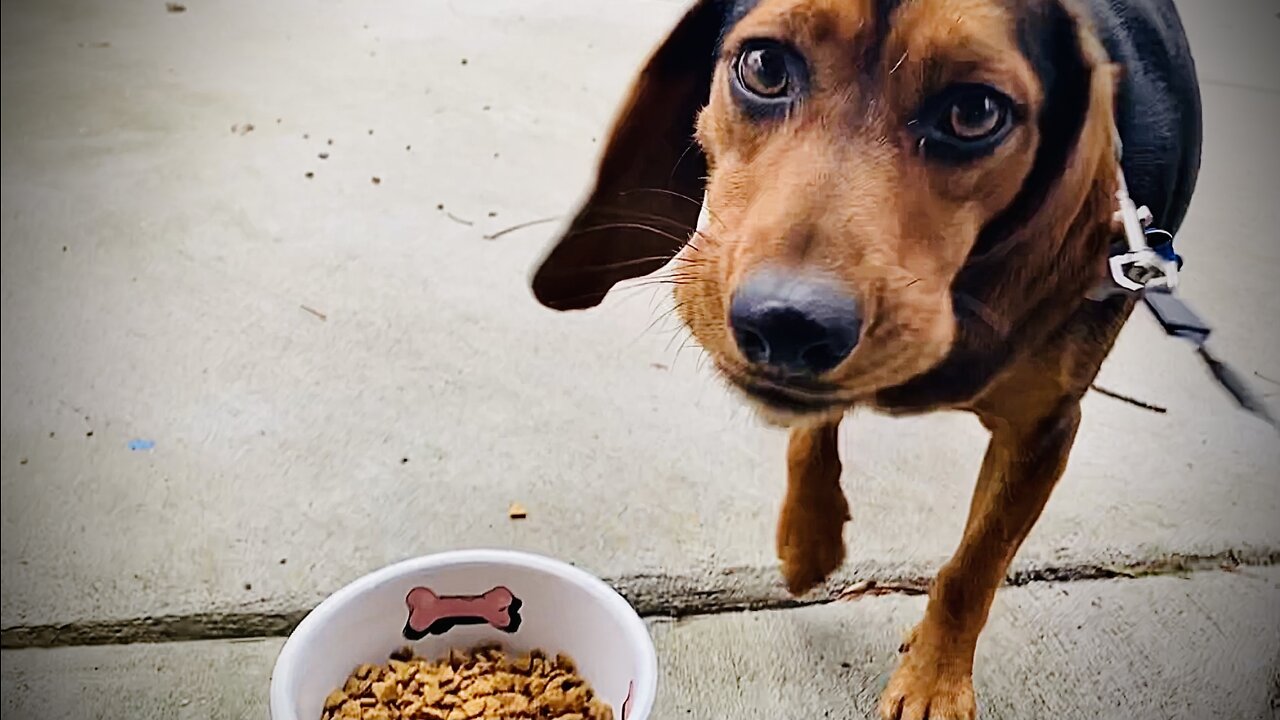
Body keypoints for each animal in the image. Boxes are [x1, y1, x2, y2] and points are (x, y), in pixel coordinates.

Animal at [527, 2, 1198, 712]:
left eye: (975, 112)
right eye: (763, 66)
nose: (787, 323)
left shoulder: (1044, 429)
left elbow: (973, 568)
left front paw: (934, 683)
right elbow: (811, 436)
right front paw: (808, 540)